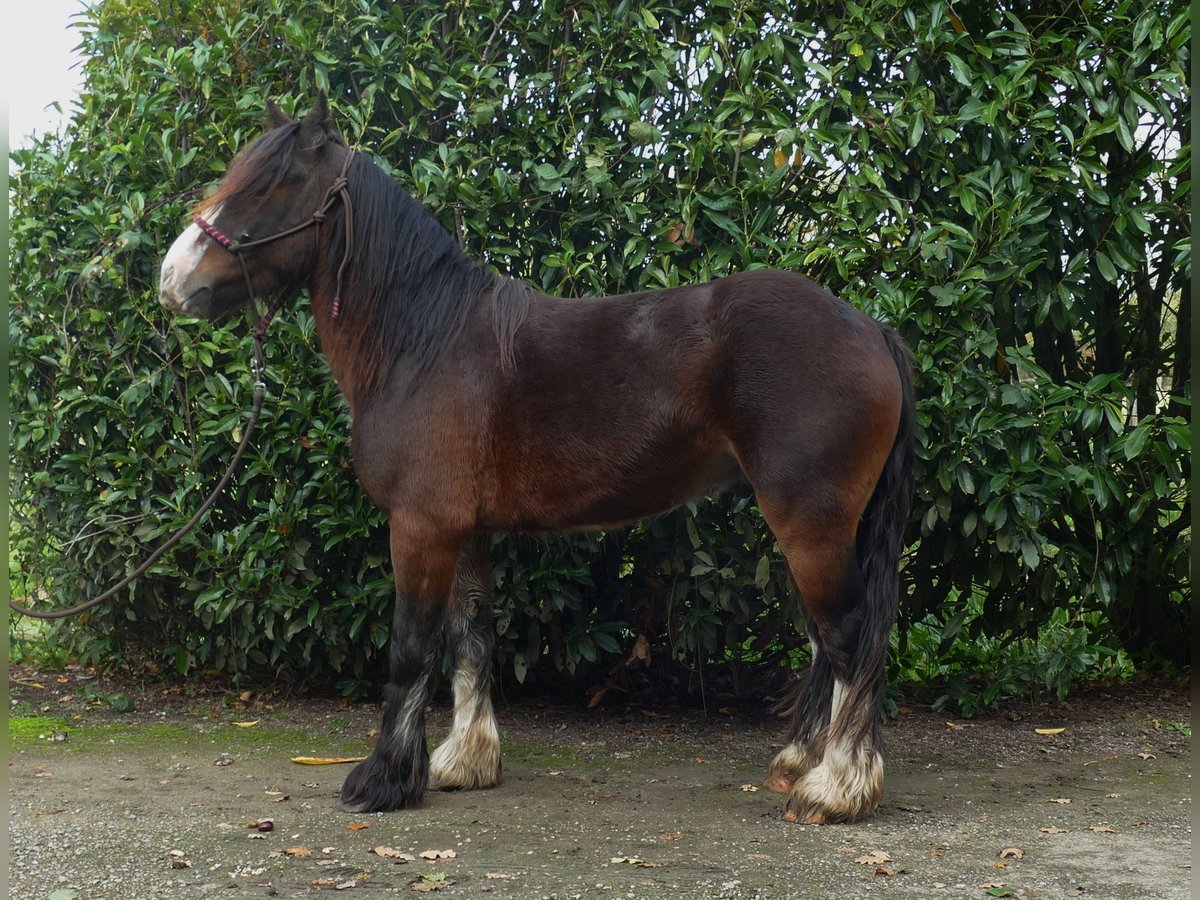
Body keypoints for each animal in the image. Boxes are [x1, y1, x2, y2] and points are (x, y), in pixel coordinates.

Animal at [157, 95, 907, 830]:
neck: (423, 341)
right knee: (825, 639)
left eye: (268, 185)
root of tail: (868, 327)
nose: (171, 280)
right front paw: (464, 762)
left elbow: (411, 646)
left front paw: (384, 779)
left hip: (808, 521)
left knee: (848, 635)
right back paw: (800, 764)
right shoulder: (462, 530)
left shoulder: (421, 526)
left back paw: (833, 789)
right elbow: (470, 637)